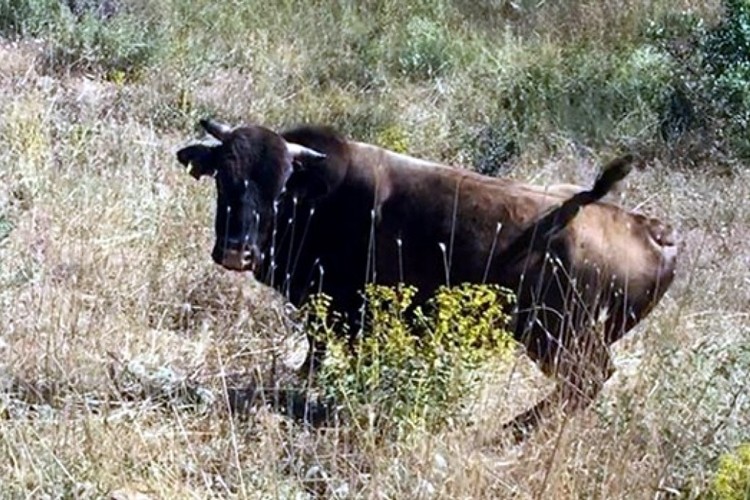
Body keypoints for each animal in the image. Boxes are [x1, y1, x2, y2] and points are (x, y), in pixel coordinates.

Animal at [178, 119, 680, 436]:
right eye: (224, 176)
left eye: (282, 185)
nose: (237, 252)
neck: (323, 195)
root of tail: (649, 229)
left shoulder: (351, 312)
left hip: (560, 339)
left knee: (587, 381)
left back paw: (508, 431)